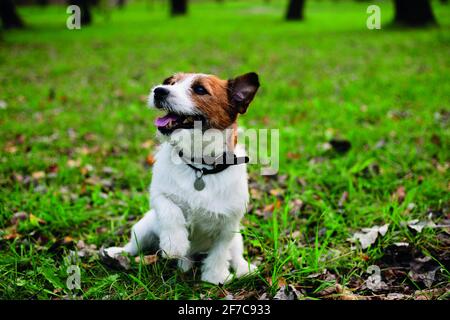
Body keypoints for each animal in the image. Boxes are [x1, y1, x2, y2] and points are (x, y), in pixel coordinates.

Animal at [100, 71, 258, 284]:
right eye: (171, 83)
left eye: (200, 89)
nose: (159, 91)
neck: (200, 167)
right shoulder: (159, 195)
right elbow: (171, 211)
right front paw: (174, 244)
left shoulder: (228, 225)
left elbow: (220, 252)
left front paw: (215, 276)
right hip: (144, 226)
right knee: (133, 246)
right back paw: (117, 254)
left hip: (237, 237)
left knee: (235, 255)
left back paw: (244, 268)